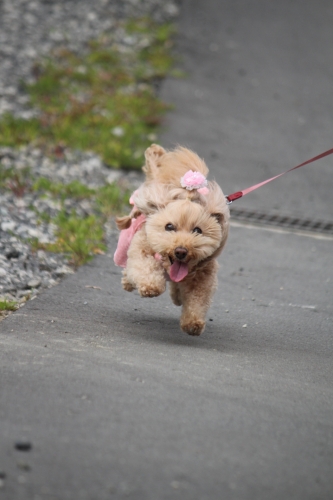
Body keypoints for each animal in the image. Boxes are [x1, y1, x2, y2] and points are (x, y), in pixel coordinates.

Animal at [114, 145, 228, 336]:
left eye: (197, 230)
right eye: (169, 227)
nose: (181, 251)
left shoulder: (203, 277)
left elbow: (197, 300)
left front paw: (192, 323)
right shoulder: (142, 250)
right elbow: (144, 267)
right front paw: (151, 287)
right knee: (129, 269)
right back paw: (129, 282)